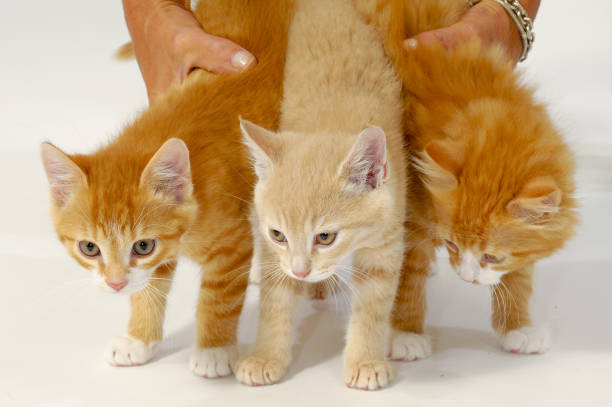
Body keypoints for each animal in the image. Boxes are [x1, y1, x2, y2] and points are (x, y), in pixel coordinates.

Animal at [40, 0, 294, 378]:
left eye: (141, 246)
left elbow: (219, 294)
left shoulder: (231, 241)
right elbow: (147, 286)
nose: (115, 283)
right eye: (89, 248)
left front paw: (214, 349)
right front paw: (138, 338)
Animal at [234, 0, 406, 392]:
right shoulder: (277, 253)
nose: (301, 271)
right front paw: (266, 356)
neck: (331, 119)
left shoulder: (386, 240)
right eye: (278, 234)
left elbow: (372, 307)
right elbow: (275, 301)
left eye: (325, 237)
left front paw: (365, 360)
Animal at [356, 0, 576, 358]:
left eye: (492, 257)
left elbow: (520, 276)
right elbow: (405, 279)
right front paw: (405, 334)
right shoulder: (407, 223)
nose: (467, 278)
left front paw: (518, 326)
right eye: (450, 244)